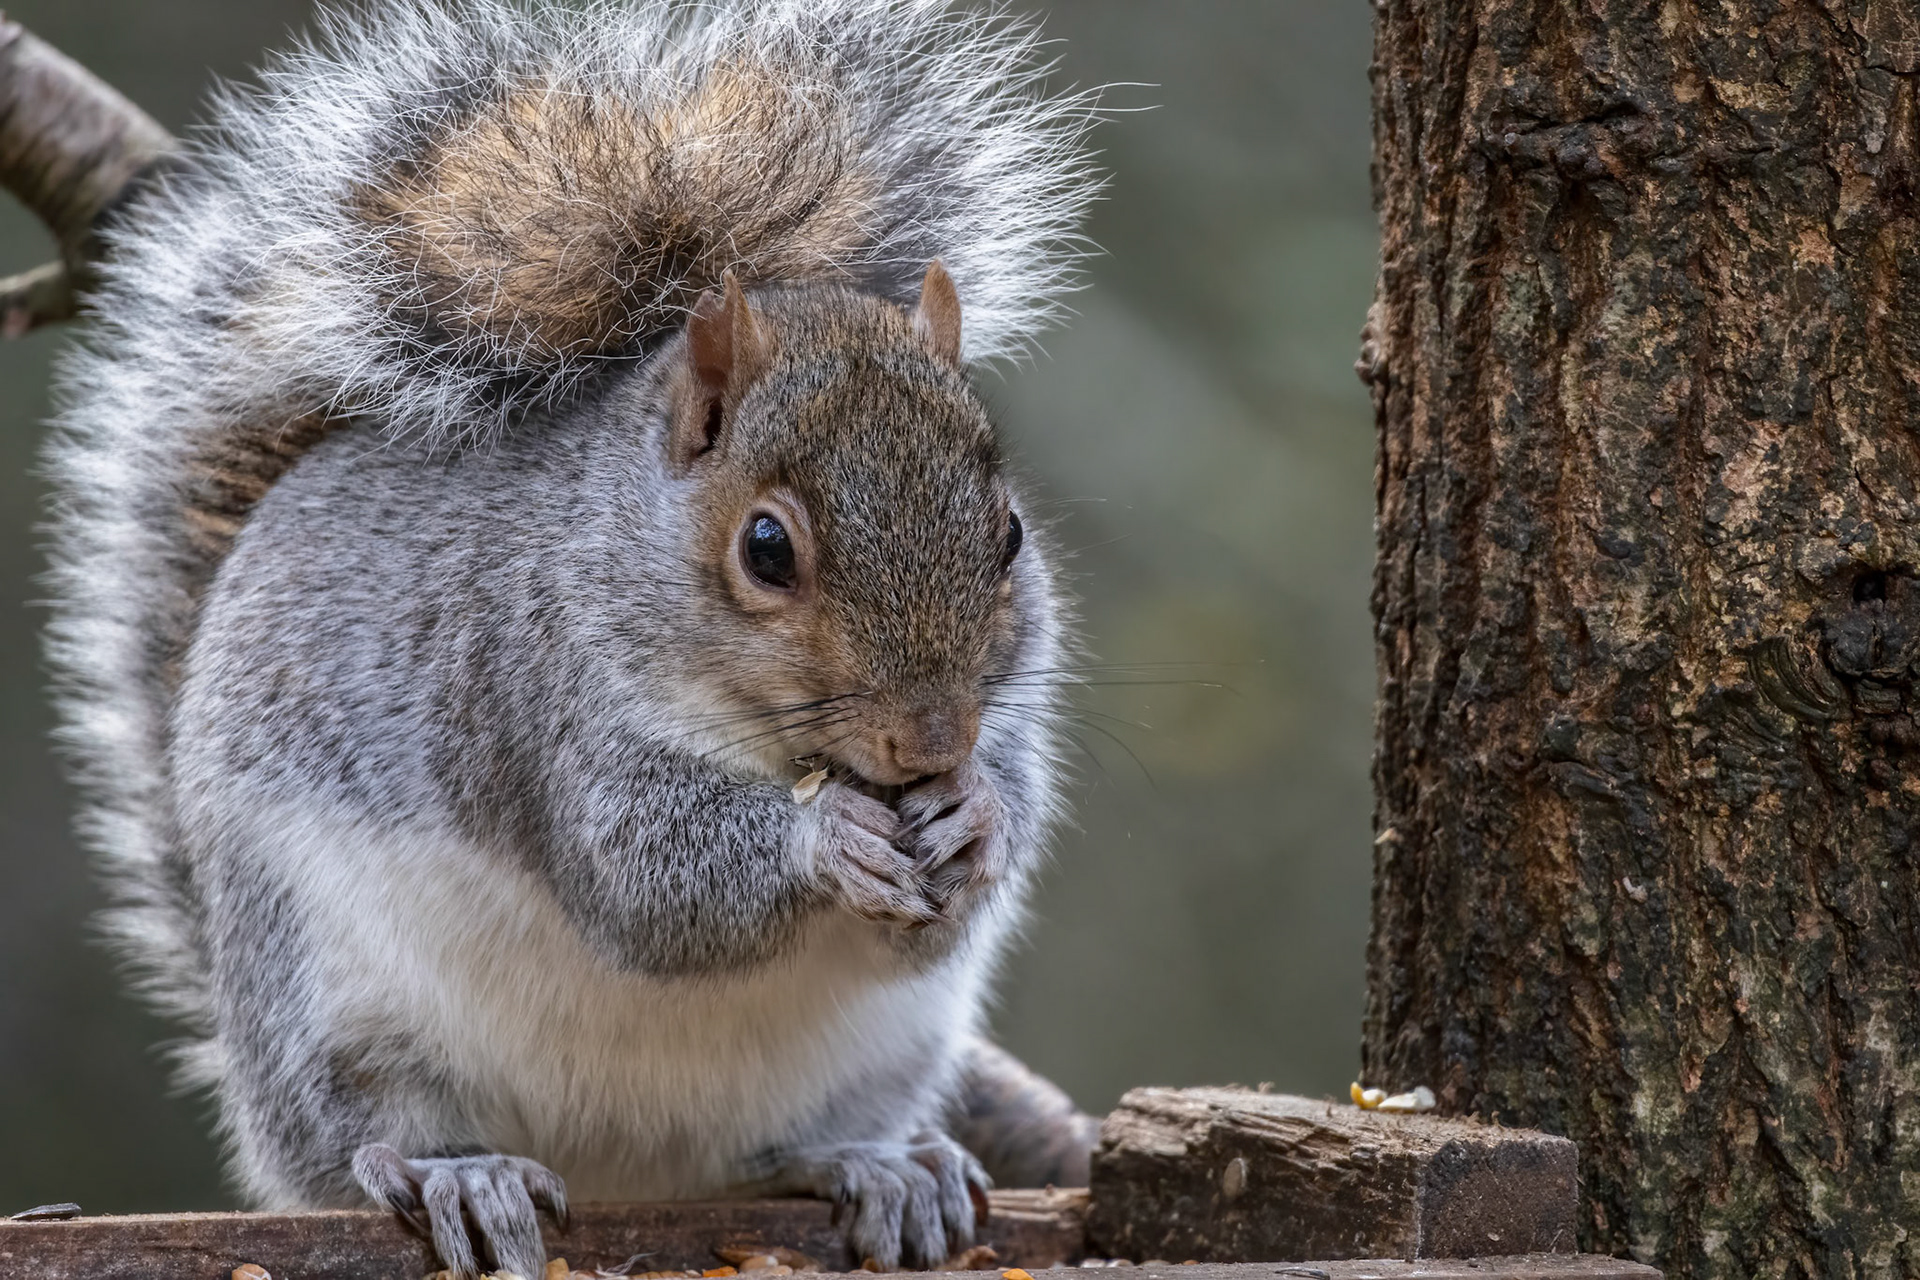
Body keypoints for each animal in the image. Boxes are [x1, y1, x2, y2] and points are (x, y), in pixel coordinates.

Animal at [38, 1, 1102, 1276]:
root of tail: (617, 1175)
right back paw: (460, 1172)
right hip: (326, 1000)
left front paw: (977, 815)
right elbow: (640, 875)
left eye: (1009, 534)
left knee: (776, 1149)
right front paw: (829, 839)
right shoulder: (536, 688)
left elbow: (964, 879)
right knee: (357, 1136)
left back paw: (877, 1165)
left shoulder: (1014, 707)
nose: (931, 742)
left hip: (878, 1053)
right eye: (766, 548)